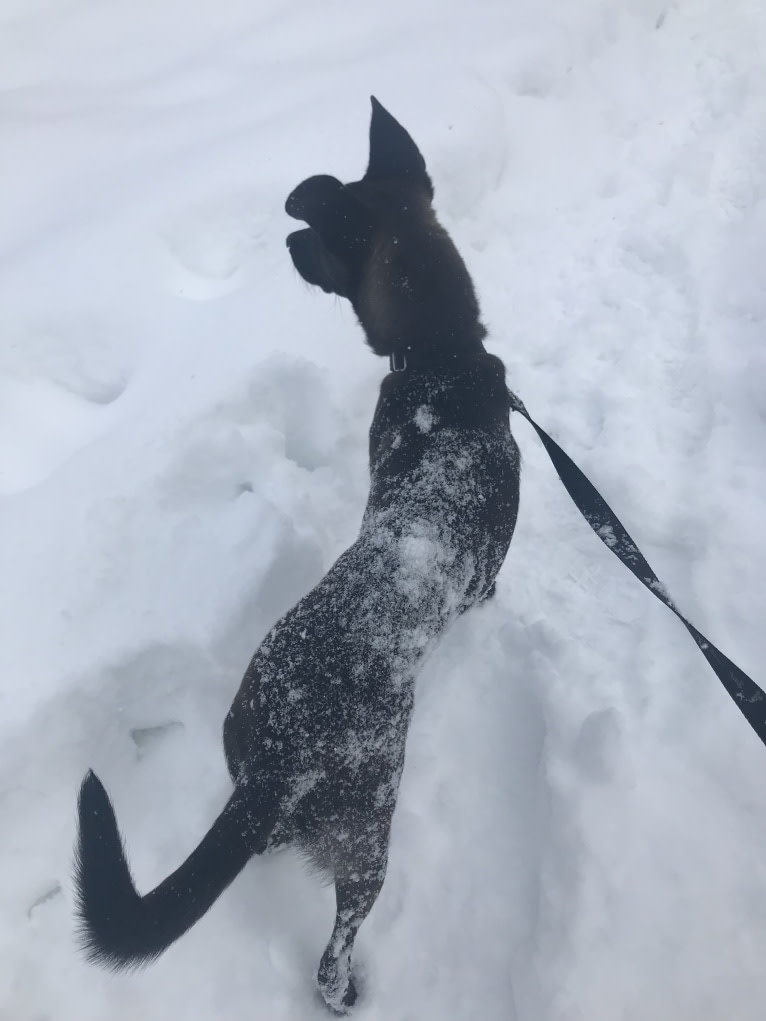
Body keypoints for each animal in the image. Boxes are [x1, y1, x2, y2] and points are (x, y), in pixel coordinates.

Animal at [75, 97, 522, 1012]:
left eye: (315, 233)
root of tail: (279, 759)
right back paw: (346, 990)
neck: (443, 354)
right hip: (368, 833)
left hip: (236, 736)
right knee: (334, 946)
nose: (283, 240)